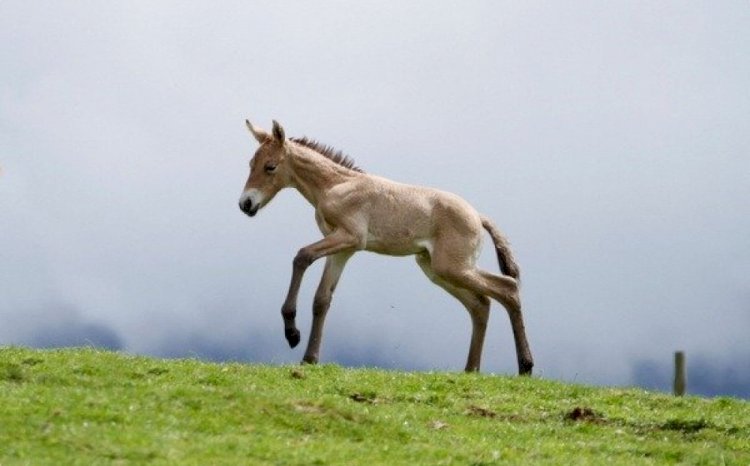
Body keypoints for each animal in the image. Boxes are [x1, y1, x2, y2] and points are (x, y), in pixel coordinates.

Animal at [241, 119, 536, 374]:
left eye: (270, 166)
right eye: (250, 163)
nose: (246, 204)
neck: (336, 185)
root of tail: (478, 216)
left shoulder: (350, 237)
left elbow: (302, 256)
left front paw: (292, 332)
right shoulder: (342, 250)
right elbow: (322, 300)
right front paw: (309, 358)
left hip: (453, 267)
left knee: (507, 288)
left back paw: (525, 366)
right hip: (436, 270)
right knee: (480, 304)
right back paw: (471, 369)